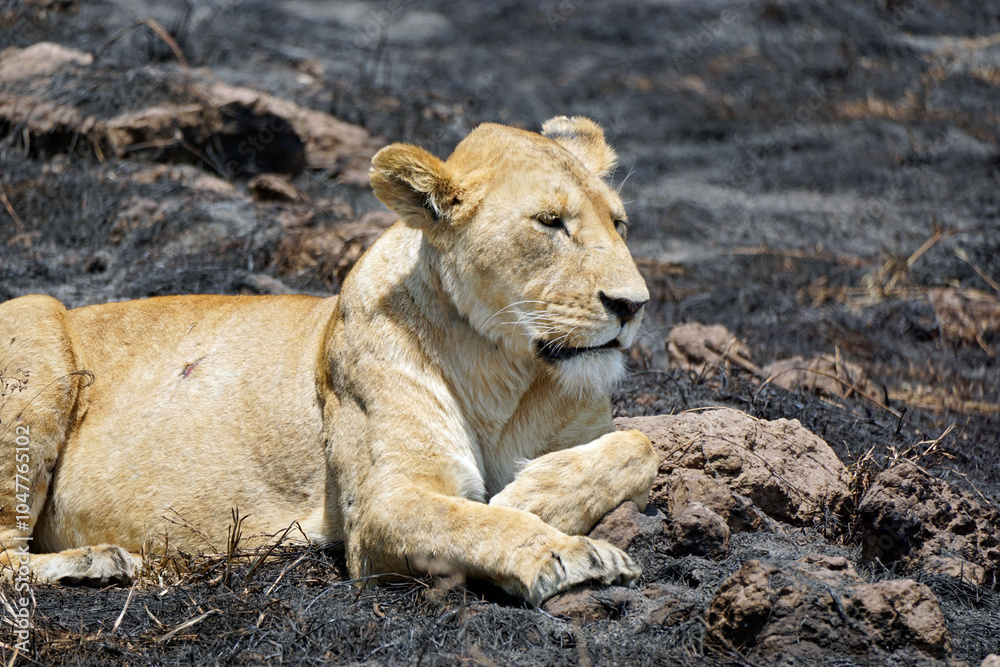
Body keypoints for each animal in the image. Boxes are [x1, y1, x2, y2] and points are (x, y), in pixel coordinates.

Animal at [0, 116, 657, 606]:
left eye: (619, 223)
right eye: (551, 223)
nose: (634, 305)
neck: (508, 367)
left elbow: (641, 447)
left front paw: (532, 491)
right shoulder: (382, 509)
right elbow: (479, 521)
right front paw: (565, 550)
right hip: (35, 332)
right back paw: (98, 562)